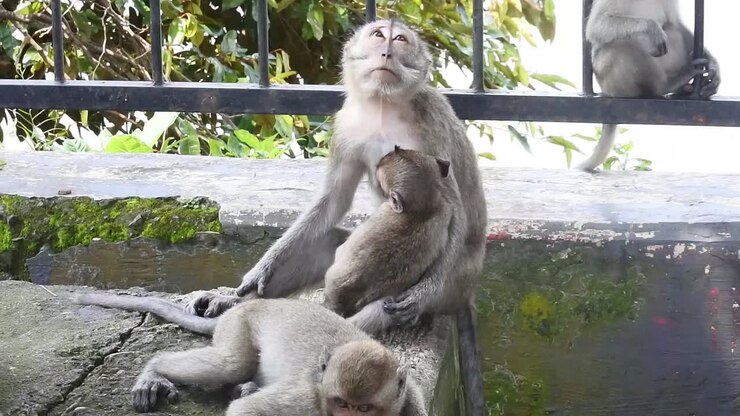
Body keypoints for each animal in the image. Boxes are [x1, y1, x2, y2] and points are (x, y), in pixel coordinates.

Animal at [74, 292, 428, 416]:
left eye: (364, 408)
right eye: (341, 404)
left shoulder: (412, 404)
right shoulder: (307, 402)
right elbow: (248, 411)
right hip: (239, 325)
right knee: (230, 364)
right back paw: (154, 372)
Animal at [578, 0, 721, 171]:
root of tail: (607, 91)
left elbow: (676, 23)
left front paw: (712, 63)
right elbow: (597, 26)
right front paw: (651, 27)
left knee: (671, 30)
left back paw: (683, 89)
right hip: (609, 77)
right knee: (621, 46)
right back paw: (668, 85)